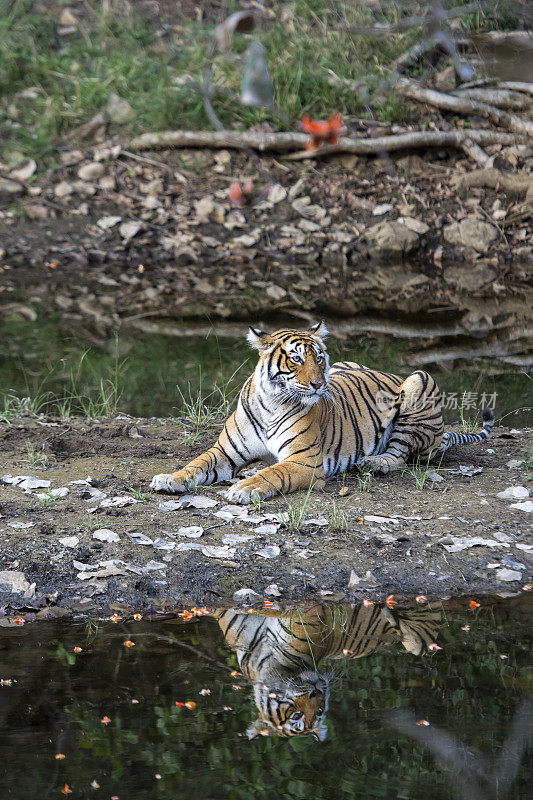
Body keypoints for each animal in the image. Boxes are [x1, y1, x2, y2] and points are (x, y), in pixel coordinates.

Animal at [149, 322, 490, 504]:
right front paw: (169, 479)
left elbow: (274, 473)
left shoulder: (303, 462)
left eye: (320, 358)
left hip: (420, 379)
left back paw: (375, 462)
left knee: (401, 454)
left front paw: (245, 488)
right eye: (297, 358)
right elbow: (195, 464)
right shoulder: (224, 452)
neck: (272, 402)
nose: (318, 384)